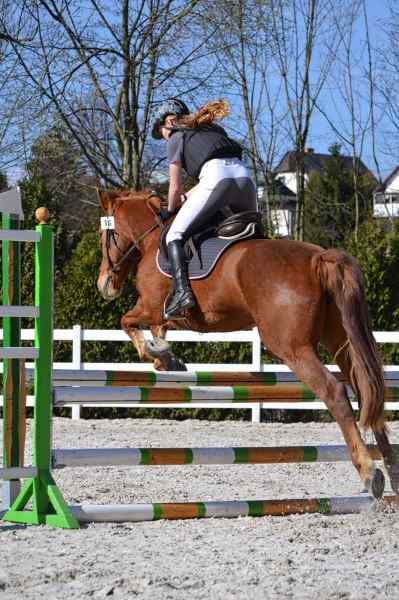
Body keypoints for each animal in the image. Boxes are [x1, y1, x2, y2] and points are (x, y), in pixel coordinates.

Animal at [97, 189, 399, 502]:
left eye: (103, 234)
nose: (104, 284)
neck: (152, 237)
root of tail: (319, 258)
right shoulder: (164, 316)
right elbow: (157, 331)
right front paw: (167, 358)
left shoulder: (152, 307)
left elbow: (127, 321)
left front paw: (156, 353)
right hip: (341, 341)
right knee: (367, 390)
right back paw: (392, 472)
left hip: (293, 348)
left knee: (335, 392)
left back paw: (369, 472)